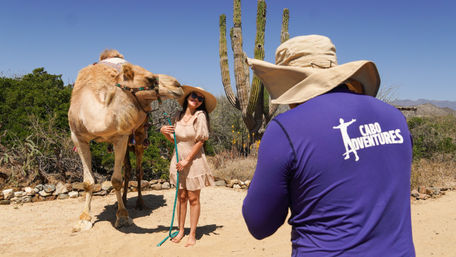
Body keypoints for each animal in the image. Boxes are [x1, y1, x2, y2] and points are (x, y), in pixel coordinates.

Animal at [68, 49, 183, 230]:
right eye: (150, 78)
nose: (177, 85)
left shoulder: (120, 137)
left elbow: (116, 180)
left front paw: (122, 217)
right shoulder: (78, 137)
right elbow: (88, 182)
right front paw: (84, 219)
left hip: (139, 137)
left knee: (138, 170)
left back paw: (139, 203)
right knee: (128, 170)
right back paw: (121, 201)